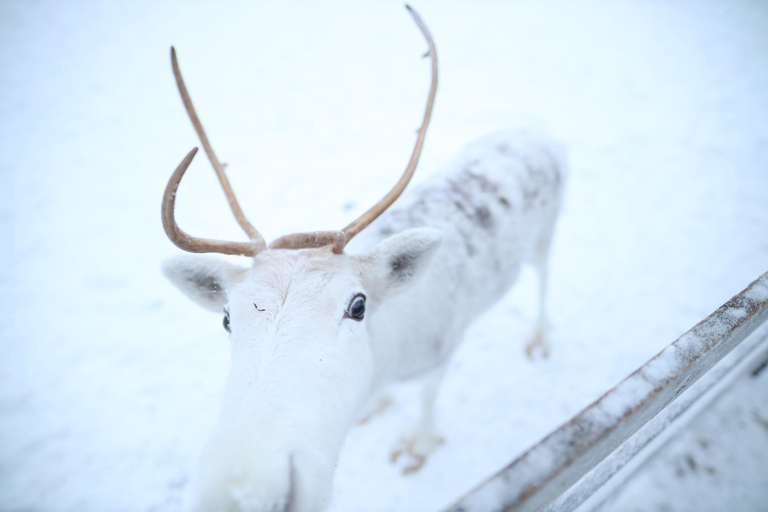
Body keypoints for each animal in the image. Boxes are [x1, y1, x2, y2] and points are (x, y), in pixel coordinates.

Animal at [161, 5, 567, 512]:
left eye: (358, 305)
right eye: (226, 318)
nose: (242, 492)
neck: (387, 355)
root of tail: (541, 134)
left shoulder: (442, 349)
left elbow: (428, 399)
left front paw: (417, 447)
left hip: (546, 234)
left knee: (546, 277)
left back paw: (540, 338)